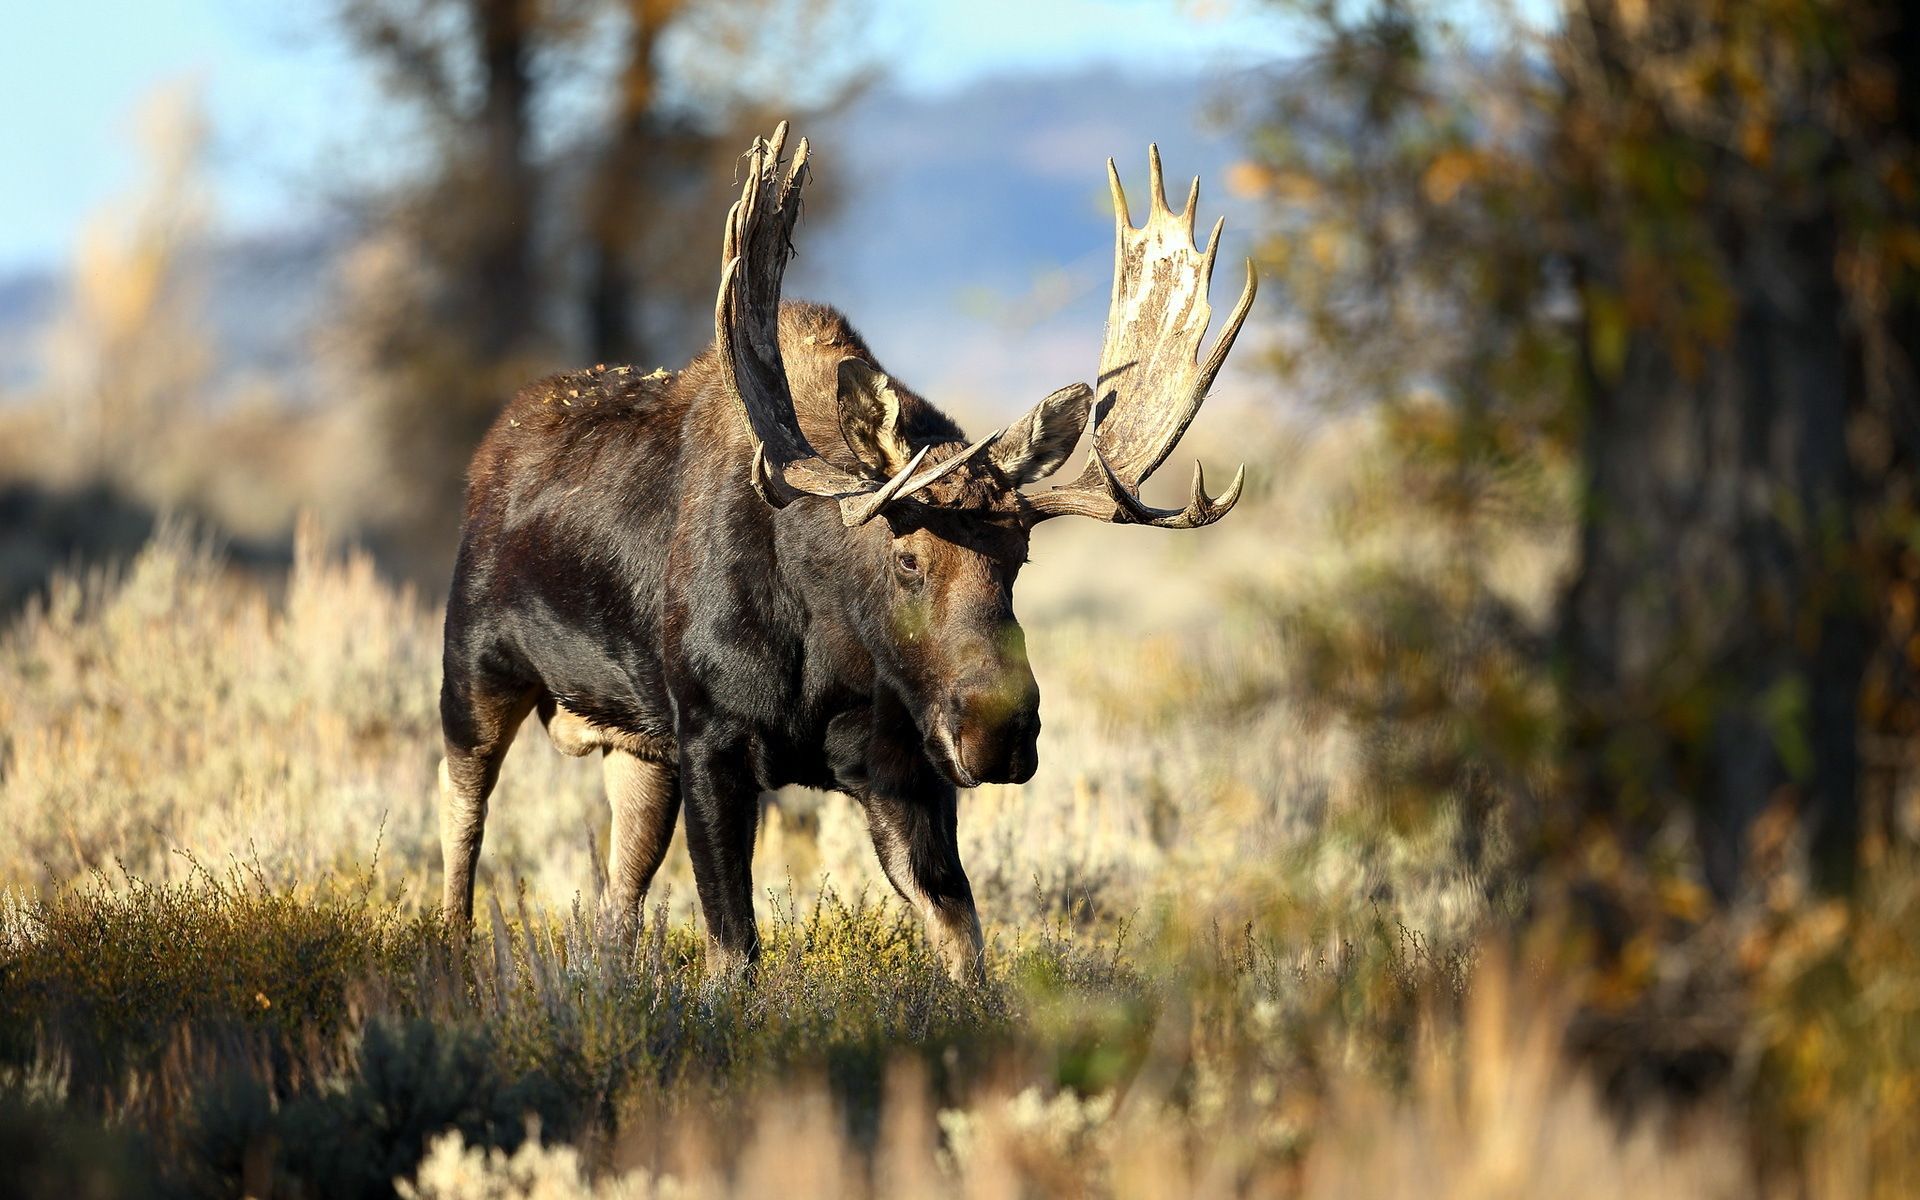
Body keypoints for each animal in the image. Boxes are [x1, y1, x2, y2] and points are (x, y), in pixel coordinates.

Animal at [438, 123, 1255, 981]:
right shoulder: (711, 738)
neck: (822, 655)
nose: (1001, 728)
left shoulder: (901, 769)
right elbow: (734, 949)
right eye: (906, 558)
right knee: (460, 815)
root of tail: (493, 447)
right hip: (475, 671)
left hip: (633, 742)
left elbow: (963, 939)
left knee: (617, 892)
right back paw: (449, 950)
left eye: (1020, 558)